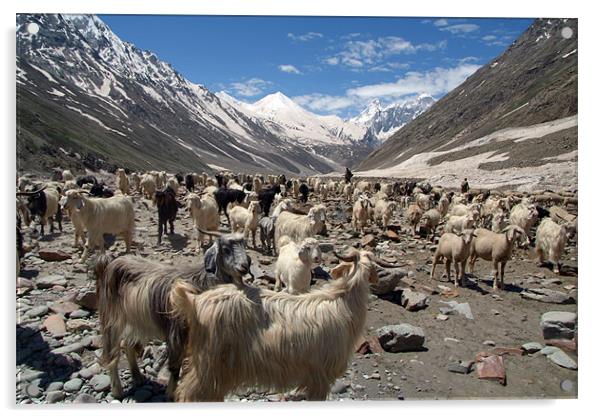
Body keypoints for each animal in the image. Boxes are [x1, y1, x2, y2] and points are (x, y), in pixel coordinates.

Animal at [93, 230, 251, 400]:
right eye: (226, 249)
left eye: (244, 245)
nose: (244, 267)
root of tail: (109, 264)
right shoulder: (176, 332)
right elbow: (175, 367)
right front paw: (171, 393)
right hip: (112, 319)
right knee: (112, 353)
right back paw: (117, 390)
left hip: (138, 321)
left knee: (128, 344)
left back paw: (137, 376)